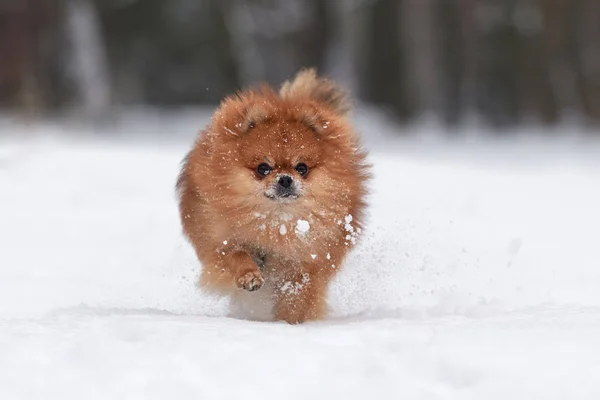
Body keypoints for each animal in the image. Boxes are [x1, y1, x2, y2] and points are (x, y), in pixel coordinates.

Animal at [176, 69, 368, 324]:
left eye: (302, 168)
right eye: (263, 168)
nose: (285, 179)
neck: (276, 222)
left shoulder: (311, 260)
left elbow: (300, 291)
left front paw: (290, 320)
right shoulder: (217, 244)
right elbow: (236, 254)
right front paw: (249, 276)